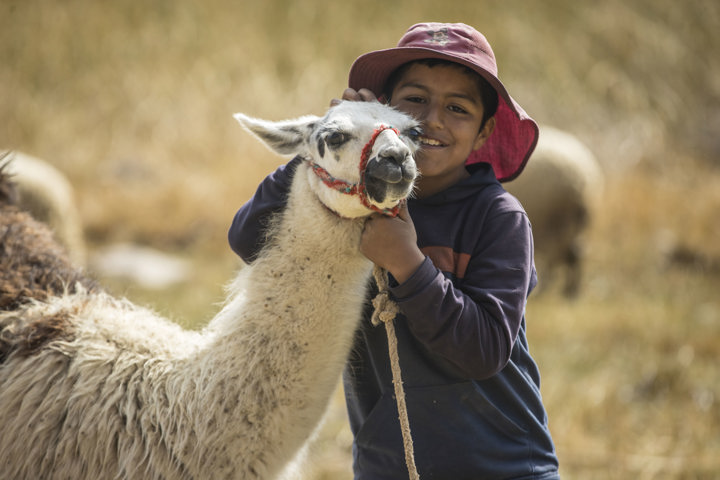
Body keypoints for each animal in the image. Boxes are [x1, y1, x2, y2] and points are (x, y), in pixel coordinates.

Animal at [506, 125, 600, 298]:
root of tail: (581, 180)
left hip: (554, 221)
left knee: (557, 255)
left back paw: (545, 290)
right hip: (575, 222)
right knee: (577, 251)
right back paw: (570, 291)